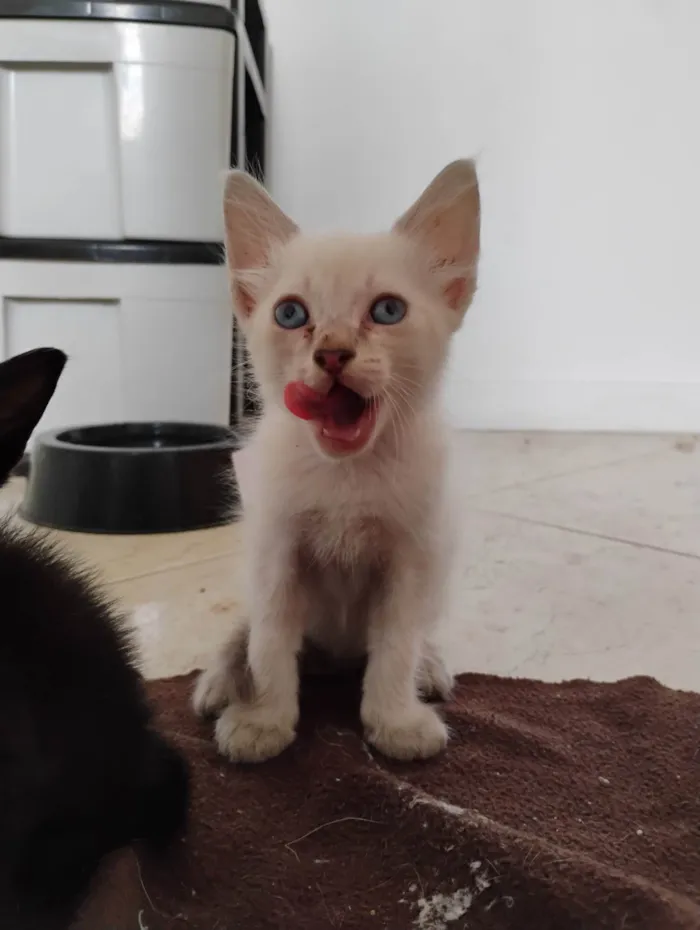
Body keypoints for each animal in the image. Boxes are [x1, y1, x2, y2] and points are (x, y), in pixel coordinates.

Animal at [194, 160, 478, 760]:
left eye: (388, 310)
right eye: (290, 313)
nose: (331, 352)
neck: (347, 473)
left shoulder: (412, 557)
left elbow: (396, 643)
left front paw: (395, 721)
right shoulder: (275, 548)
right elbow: (270, 640)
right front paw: (264, 720)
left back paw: (429, 666)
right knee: (247, 627)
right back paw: (222, 677)